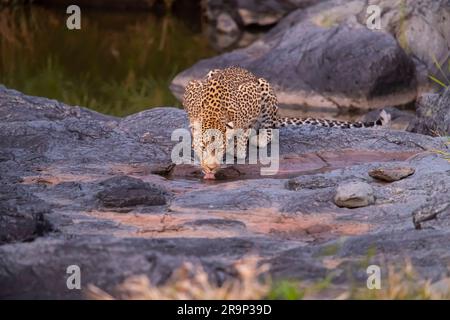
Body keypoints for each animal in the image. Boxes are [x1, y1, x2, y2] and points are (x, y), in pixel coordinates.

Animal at [182, 67, 390, 180]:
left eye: (220, 149)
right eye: (203, 148)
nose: (210, 169)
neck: (213, 112)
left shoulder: (250, 95)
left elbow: (243, 131)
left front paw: (238, 147)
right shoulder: (192, 88)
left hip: (264, 87)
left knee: (271, 128)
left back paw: (258, 137)